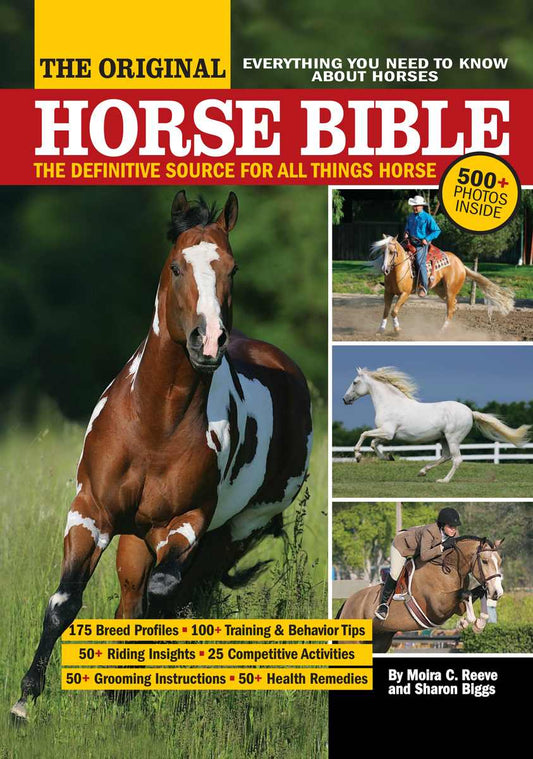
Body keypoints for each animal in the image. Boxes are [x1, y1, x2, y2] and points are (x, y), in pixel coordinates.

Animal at [11, 191, 313, 722]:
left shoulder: (186, 522)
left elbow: (162, 598)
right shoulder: (91, 512)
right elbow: (65, 601)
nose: (207, 341)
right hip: (137, 537)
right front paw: (25, 702)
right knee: (134, 599)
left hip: (236, 532)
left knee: (179, 595)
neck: (155, 424)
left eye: (232, 268)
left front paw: (127, 690)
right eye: (176, 266)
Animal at [337, 536, 504, 653]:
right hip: (352, 642)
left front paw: (478, 623)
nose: (498, 593)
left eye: (500, 561)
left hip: (379, 641)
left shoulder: (455, 606)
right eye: (484, 561)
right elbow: (466, 593)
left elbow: (477, 592)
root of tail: (347, 603)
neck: (449, 568)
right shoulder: (438, 608)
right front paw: (466, 622)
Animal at [342, 366, 530, 483]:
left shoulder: (387, 432)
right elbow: (374, 443)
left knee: (456, 459)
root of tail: (470, 412)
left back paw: (443, 480)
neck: (391, 403)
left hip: (452, 438)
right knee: (446, 456)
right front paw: (388, 457)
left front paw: (358, 456)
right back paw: (422, 471)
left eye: (354, 382)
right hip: (443, 439)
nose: (344, 399)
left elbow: (364, 434)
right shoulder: (389, 435)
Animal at [370, 235, 514, 334]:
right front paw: (380, 329)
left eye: (392, 251)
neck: (400, 269)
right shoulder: (388, 292)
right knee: (454, 305)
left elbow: (394, 311)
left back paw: (441, 331)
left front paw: (397, 330)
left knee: (450, 309)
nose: (385, 269)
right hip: (441, 290)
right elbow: (386, 310)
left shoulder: (404, 294)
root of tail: (461, 265)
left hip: (450, 291)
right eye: (382, 252)